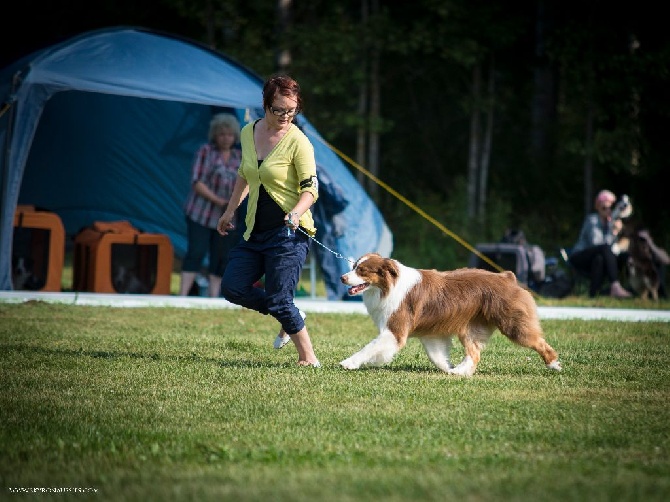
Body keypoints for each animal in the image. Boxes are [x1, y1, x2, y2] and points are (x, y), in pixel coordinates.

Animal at [338, 255, 564, 376]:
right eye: (353, 267)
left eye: (362, 270)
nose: (342, 278)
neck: (387, 287)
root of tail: (507, 277)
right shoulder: (431, 334)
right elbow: (436, 356)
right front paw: (448, 367)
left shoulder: (395, 330)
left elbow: (370, 347)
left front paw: (348, 363)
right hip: (471, 327)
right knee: (474, 353)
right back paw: (460, 372)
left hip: (512, 323)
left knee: (538, 342)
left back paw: (554, 364)